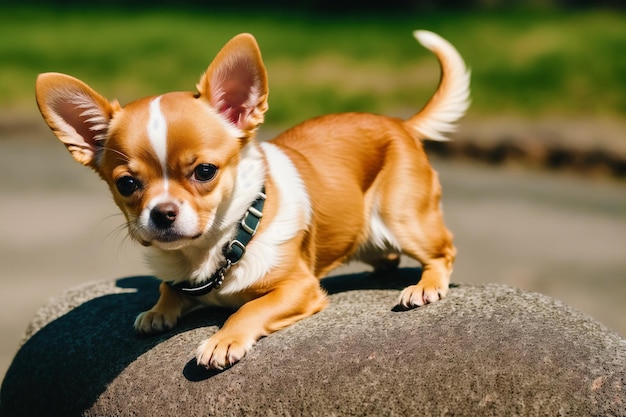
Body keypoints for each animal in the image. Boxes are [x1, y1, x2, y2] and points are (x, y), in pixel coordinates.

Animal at [35, 30, 468, 368]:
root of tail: (399, 123)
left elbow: (250, 307)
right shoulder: (182, 279)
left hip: (402, 217)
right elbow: (168, 289)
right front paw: (158, 311)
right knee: (388, 256)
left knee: (443, 251)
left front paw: (223, 339)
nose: (162, 213)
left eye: (204, 171)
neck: (212, 251)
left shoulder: (299, 287)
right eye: (126, 184)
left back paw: (424, 287)